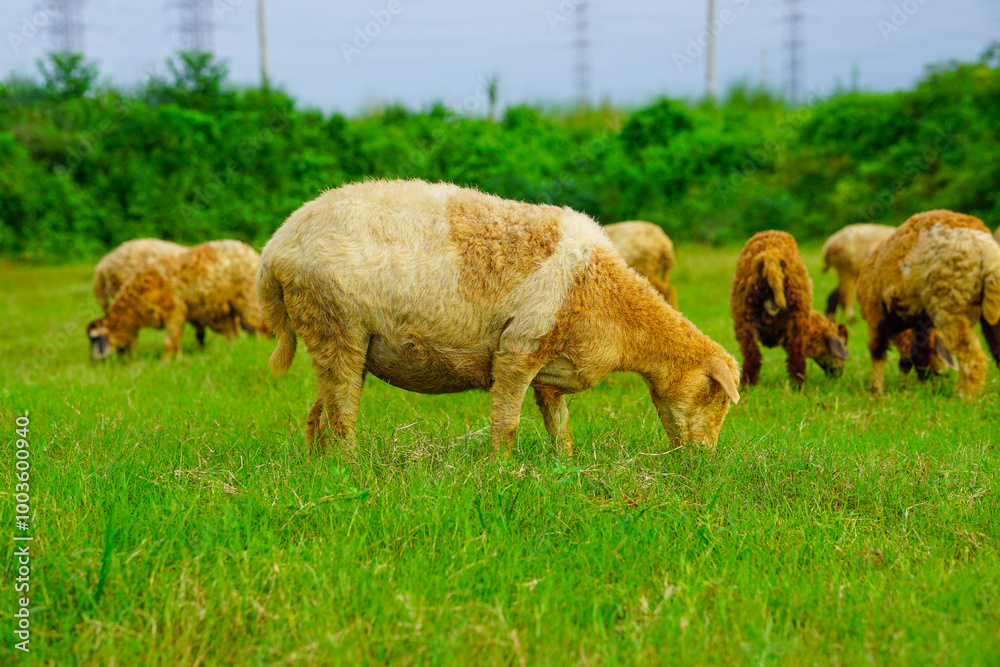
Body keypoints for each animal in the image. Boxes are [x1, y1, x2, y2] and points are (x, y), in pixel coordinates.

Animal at [87, 240, 267, 361]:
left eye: (94, 339)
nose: (94, 361)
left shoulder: (176, 310)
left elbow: (170, 342)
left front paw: (166, 363)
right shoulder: (184, 314)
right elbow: (180, 338)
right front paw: (180, 358)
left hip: (248, 298)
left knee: (258, 326)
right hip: (229, 307)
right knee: (235, 334)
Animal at [258, 179, 741, 456]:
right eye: (718, 397)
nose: (704, 460)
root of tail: (276, 247)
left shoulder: (551, 370)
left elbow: (559, 425)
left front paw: (564, 466)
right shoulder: (518, 349)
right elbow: (507, 425)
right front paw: (501, 472)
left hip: (334, 337)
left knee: (322, 410)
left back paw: (321, 465)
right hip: (335, 322)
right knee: (342, 414)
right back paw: (352, 466)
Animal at [731, 230, 850, 387]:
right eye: (843, 342)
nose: (839, 373)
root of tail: (771, 257)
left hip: (744, 313)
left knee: (752, 354)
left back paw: (748, 384)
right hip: (797, 312)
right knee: (796, 353)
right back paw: (799, 384)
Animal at [856, 210, 1000, 397]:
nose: (903, 365)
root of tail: (984, 247)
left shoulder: (875, 314)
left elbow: (877, 352)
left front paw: (876, 391)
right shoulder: (922, 322)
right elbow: (922, 354)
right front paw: (925, 389)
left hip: (949, 303)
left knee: (973, 358)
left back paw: (965, 398)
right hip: (992, 309)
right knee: (995, 351)